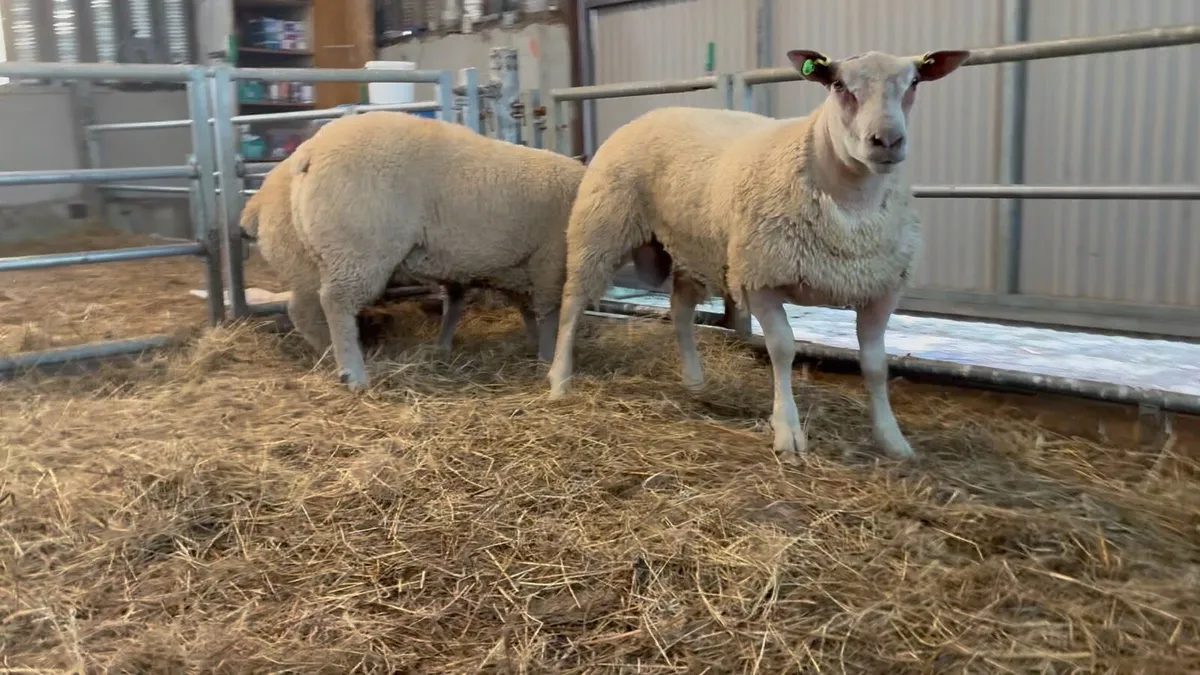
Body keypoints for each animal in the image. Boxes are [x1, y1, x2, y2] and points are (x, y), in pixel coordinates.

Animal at [287, 110, 587, 391]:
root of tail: (311, 150)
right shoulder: (548, 261)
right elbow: (549, 314)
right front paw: (547, 359)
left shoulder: (515, 269)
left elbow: (521, 309)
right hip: (359, 249)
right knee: (336, 303)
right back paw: (353, 374)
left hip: (323, 252)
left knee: (307, 305)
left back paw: (328, 353)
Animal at [546, 48, 971, 460]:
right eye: (838, 85)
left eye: (914, 82)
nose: (887, 141)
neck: (851, 206)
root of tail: (653, 112)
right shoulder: (759, 277)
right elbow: (782, 349)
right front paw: (787, 431)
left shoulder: (881, 288)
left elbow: (876, 365)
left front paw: (892, 439)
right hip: (600, 228)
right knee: (573, 302)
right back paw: (559, 380)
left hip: (694, 248)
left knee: (680, 311)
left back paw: (695, 382)